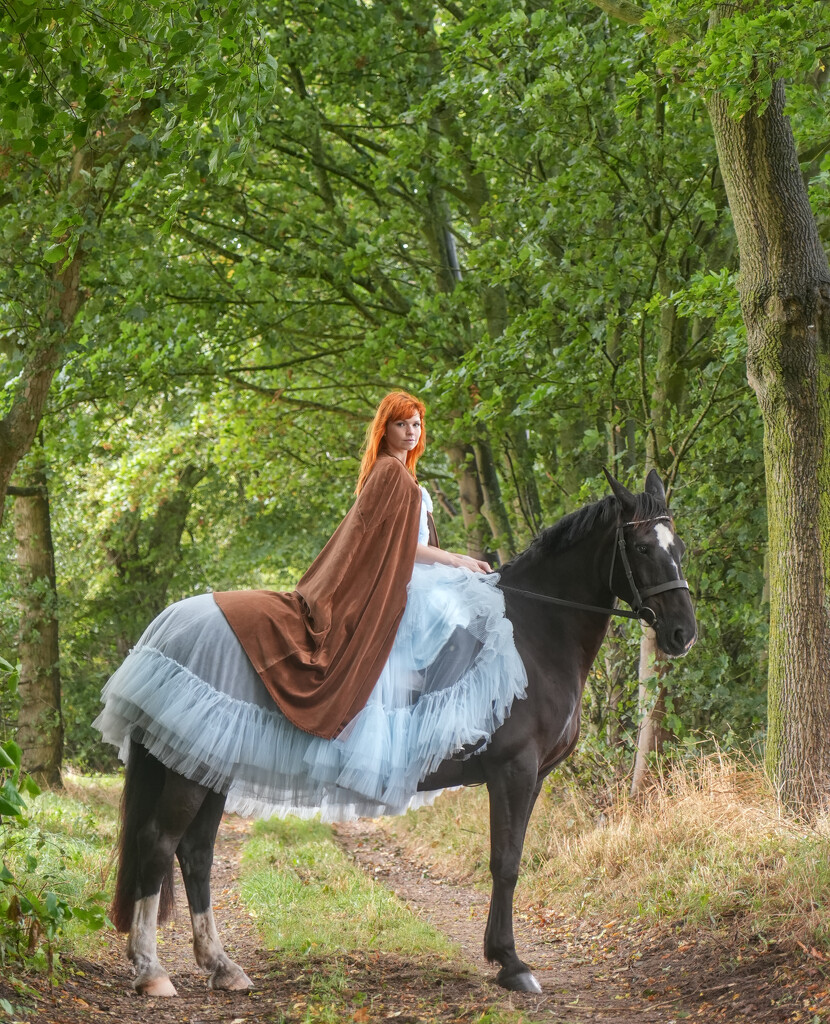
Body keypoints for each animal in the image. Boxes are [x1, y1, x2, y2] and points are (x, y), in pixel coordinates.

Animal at [105, 471, 695, 999]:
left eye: (680, 546)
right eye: (643, 546)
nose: (683, 634)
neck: (533, 631)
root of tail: (166, 628)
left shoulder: (535, 777)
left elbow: (510, 859)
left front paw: (501, 955)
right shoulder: (514, 769)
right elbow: (505, 862)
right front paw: (511, 964)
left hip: (210, 761)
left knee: (196, 853)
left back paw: (222, 967)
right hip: (189, 768)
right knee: (159, 844)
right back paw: (152, 971)